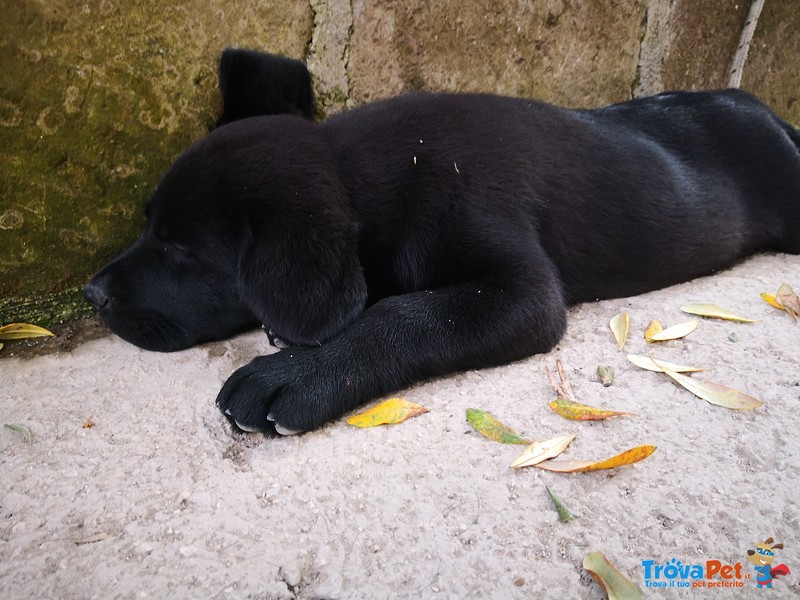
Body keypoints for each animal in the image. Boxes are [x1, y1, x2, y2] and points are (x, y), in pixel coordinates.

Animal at [86, 49, 800, 434]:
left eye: (183, 252)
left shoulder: (521, 290)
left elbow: (402, 315)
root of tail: (761, 106)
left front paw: (297, 376)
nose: (92, 293)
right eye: (148, 224)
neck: (378, 179)